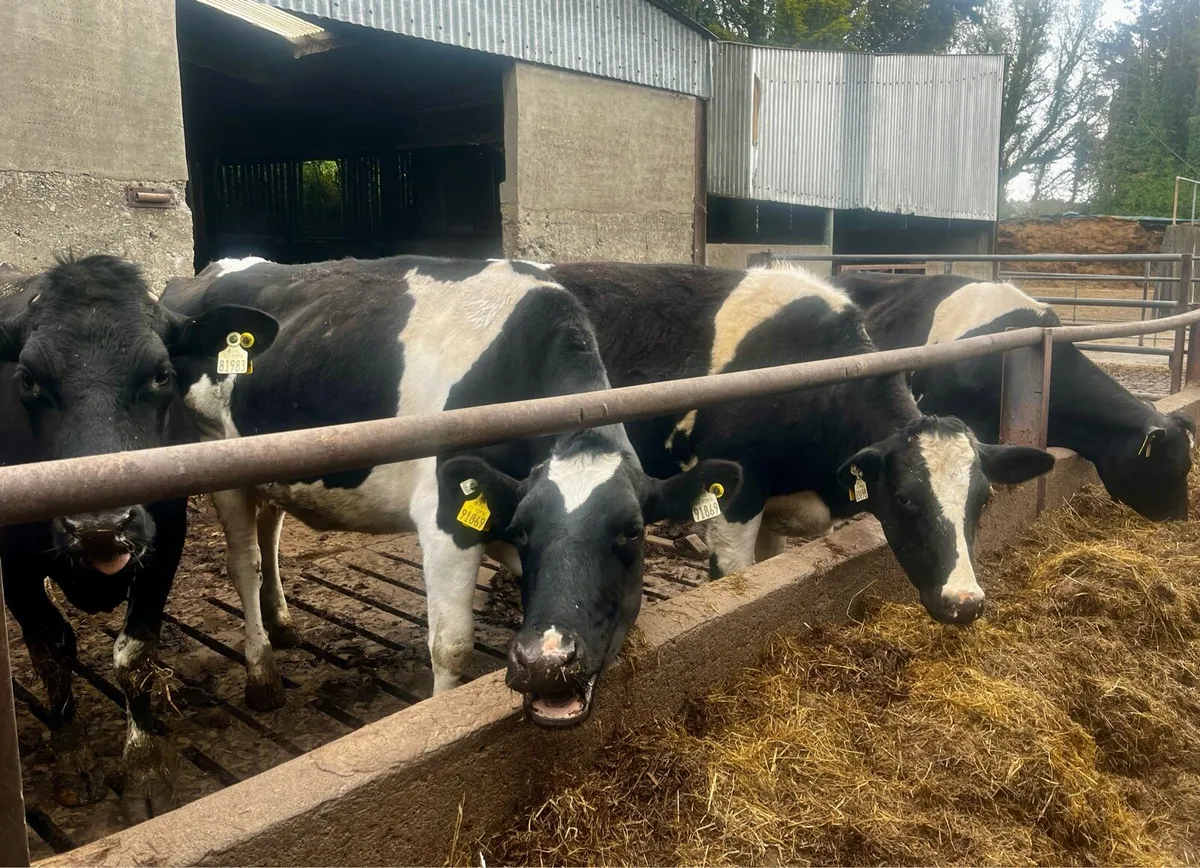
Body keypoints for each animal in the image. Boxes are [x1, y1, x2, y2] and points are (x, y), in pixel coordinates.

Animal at [0, 254, 273, 819]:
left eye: (161, 374)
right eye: (28, 381)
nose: (99, 526)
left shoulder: (165, 540)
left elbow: (134, 655)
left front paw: (145, 766)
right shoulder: (11, 563)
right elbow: (51, 652)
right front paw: (72, 759)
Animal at [160, 256, 740, 727]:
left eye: (632, 533)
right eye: (525, 531)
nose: (548, 664)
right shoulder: (443, 516)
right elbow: (452, 646)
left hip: (271, 461)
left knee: (271, 531)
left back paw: (282, 623)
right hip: (216, 460)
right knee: (245, 562)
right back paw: (261, 674)